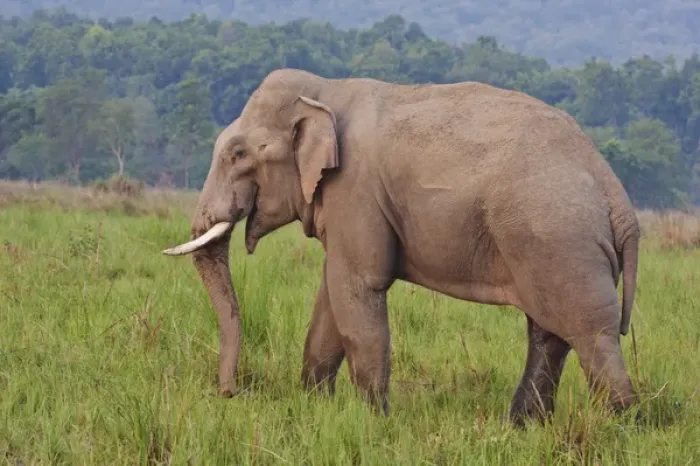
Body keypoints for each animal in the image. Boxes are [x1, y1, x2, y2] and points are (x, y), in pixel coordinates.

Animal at [162, 68, 640, 426]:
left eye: (238, 154)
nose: (231, 393)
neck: (326, 90)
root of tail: (618, 197)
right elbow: (331, 296)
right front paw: (315, 406)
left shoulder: (355, 190)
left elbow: (358, 286)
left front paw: (374, 421)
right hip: (552, 244)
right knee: (549, 332)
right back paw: (522, 427)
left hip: (559, 240)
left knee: (589, 333)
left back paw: (617, 425)